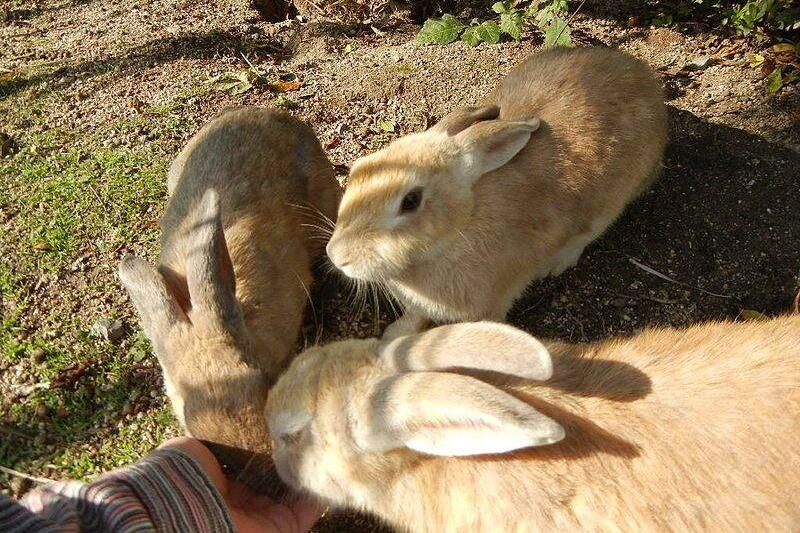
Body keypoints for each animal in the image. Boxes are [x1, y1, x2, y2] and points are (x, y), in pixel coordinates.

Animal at [325, 47, 668, 338]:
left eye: (410, 201)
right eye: (359, 168)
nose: (336, 256)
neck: (459, 230)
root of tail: (645, 78)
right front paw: (393, 335)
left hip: (610, 203)